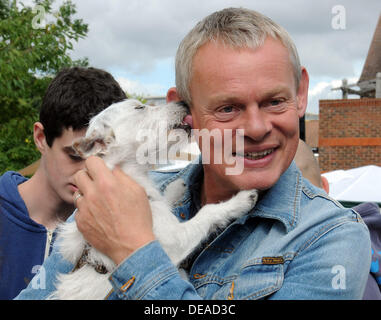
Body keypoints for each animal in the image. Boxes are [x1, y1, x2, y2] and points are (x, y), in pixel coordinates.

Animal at [49, 99, 256, 298]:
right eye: (139, 107)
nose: (183, 102)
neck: (134, 177)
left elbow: (164, 196)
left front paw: (176, 186)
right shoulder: (174, 241)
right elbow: (208, 212)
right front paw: (241, 200)